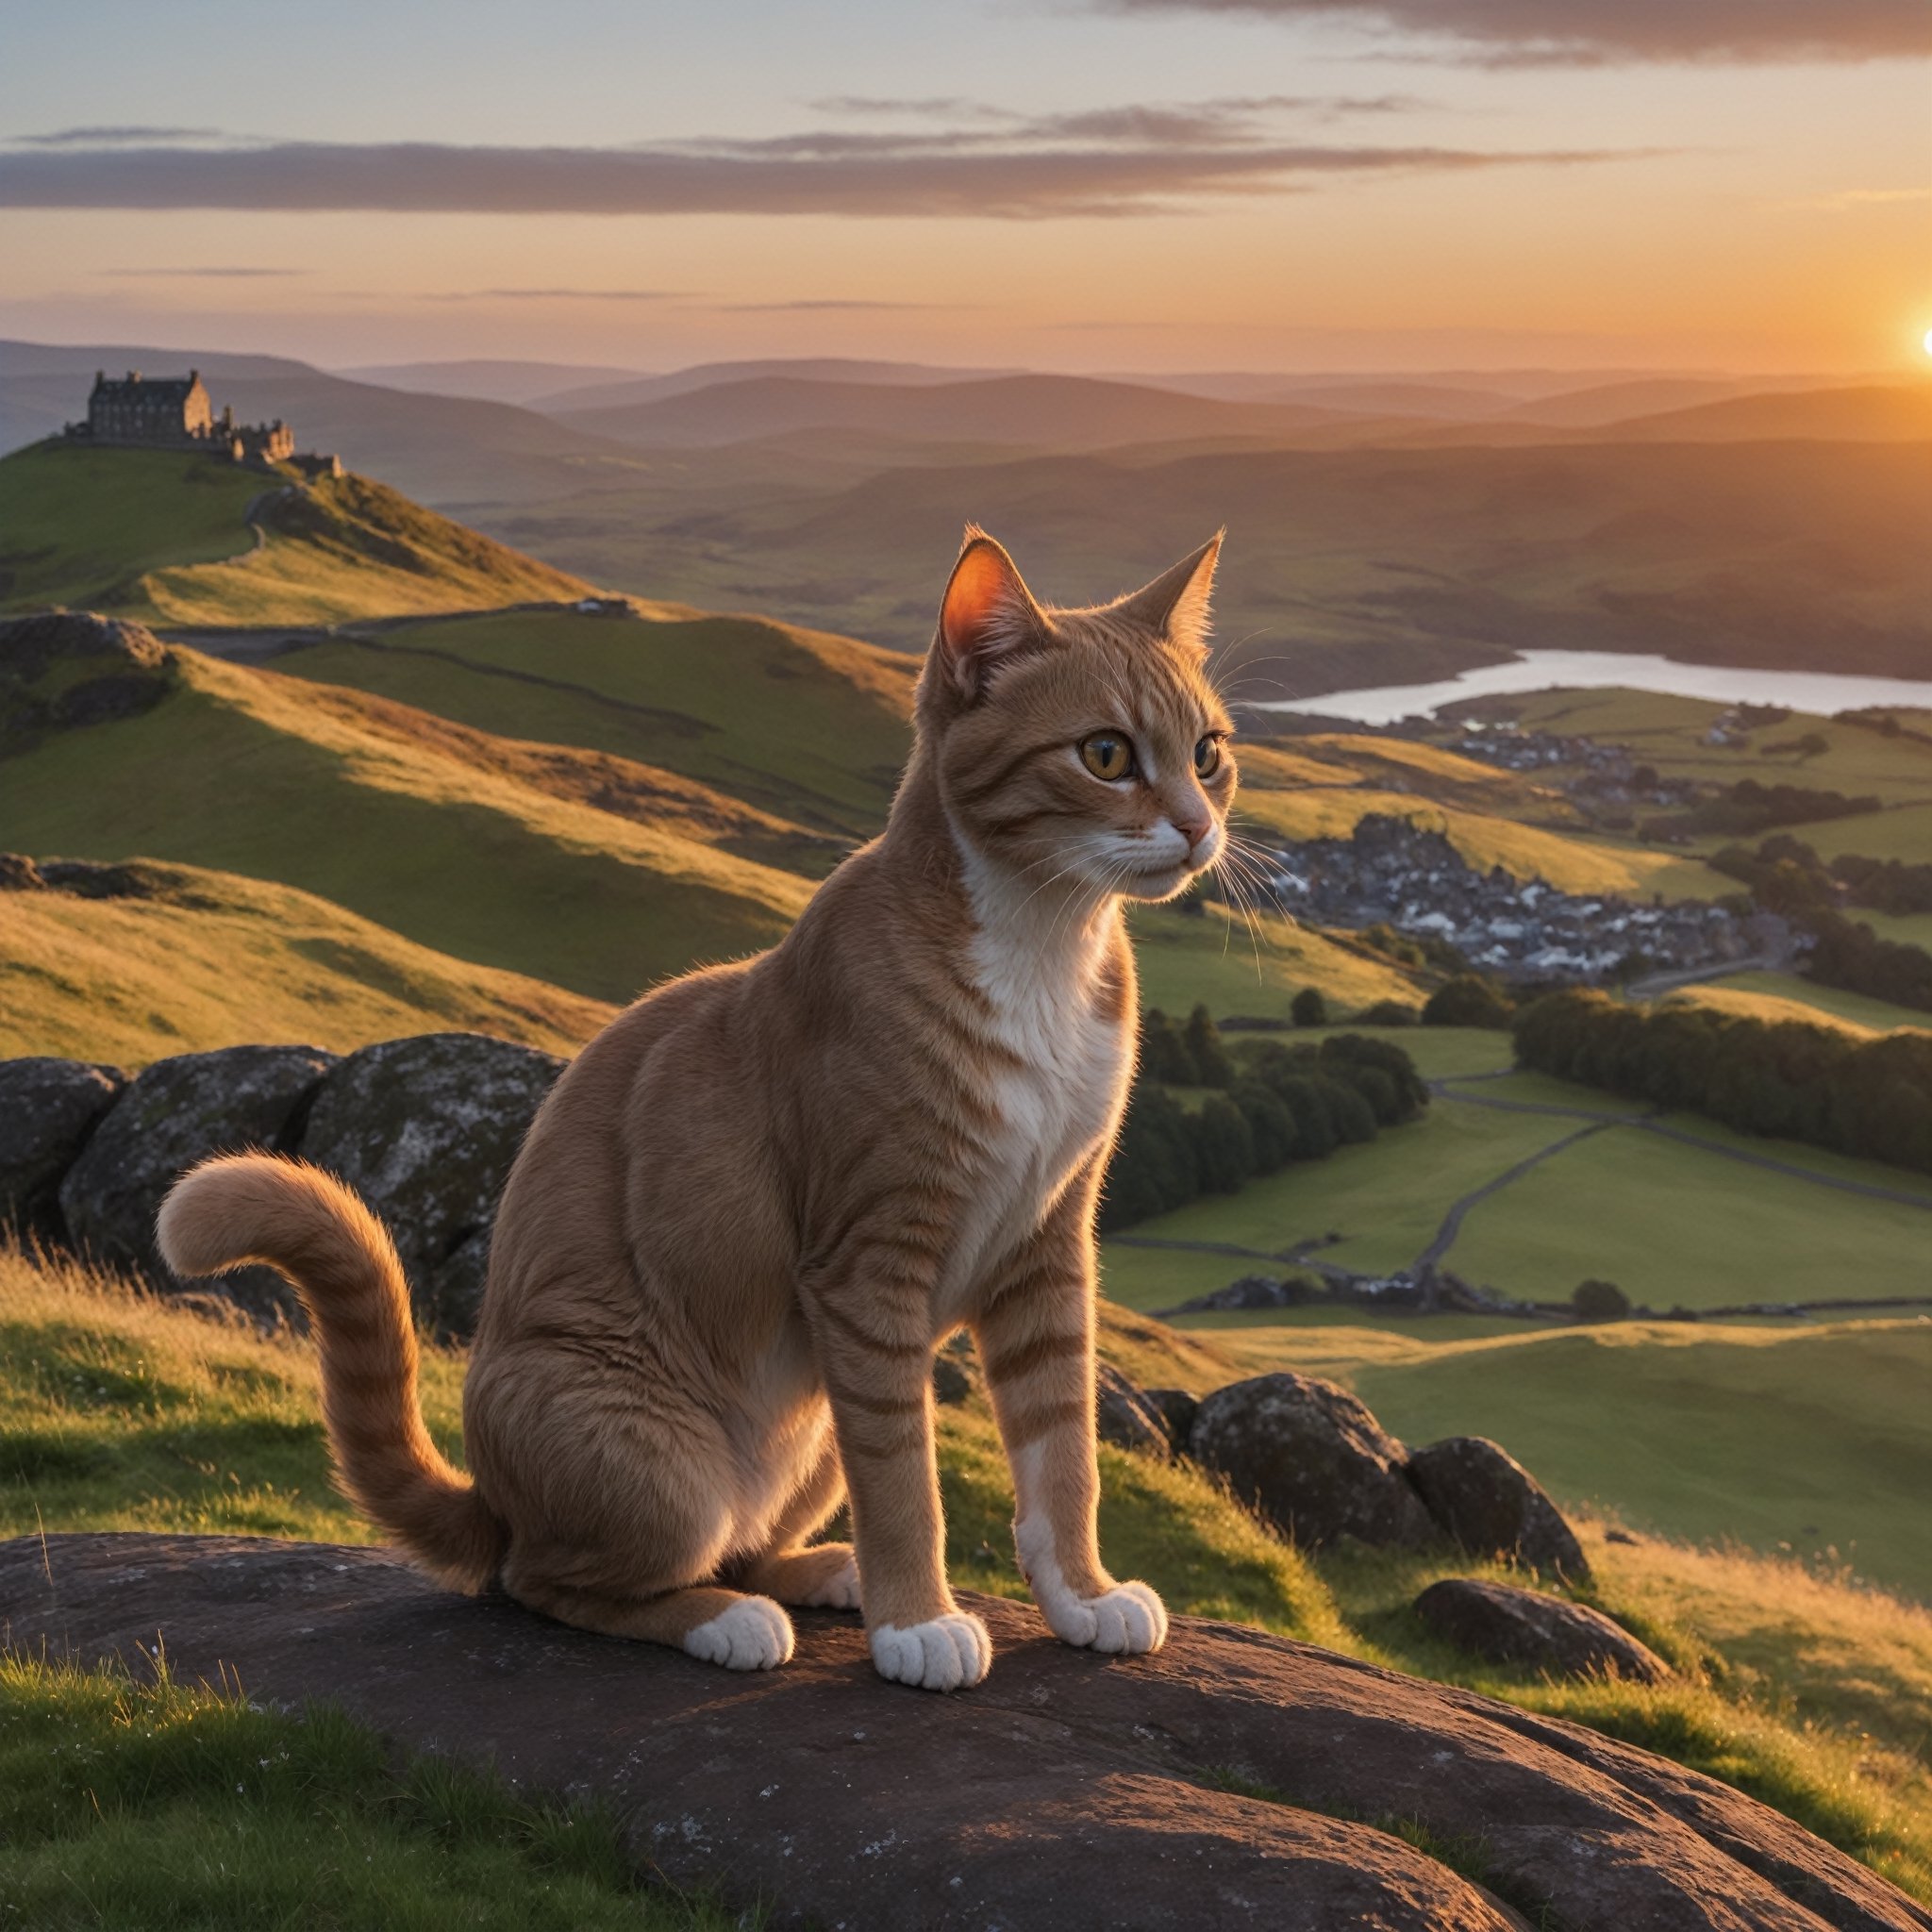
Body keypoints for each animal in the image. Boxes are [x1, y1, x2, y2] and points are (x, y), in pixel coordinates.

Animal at [154, 529, 1236, 1692]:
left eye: (1208, 751)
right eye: (1105, 755)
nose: (1197, 826)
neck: (1043, 951)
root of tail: (490, 1499)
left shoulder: (1049, 1241)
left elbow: (1060, 1447)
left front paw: (1080, 1596)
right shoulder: (868, 1265)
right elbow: (905, 1475)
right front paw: (918, 1620)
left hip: (810, 1428)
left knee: (741, 1540)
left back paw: (817, 1570)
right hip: (650, 1449)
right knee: (550, 1579)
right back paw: (726, 1618)